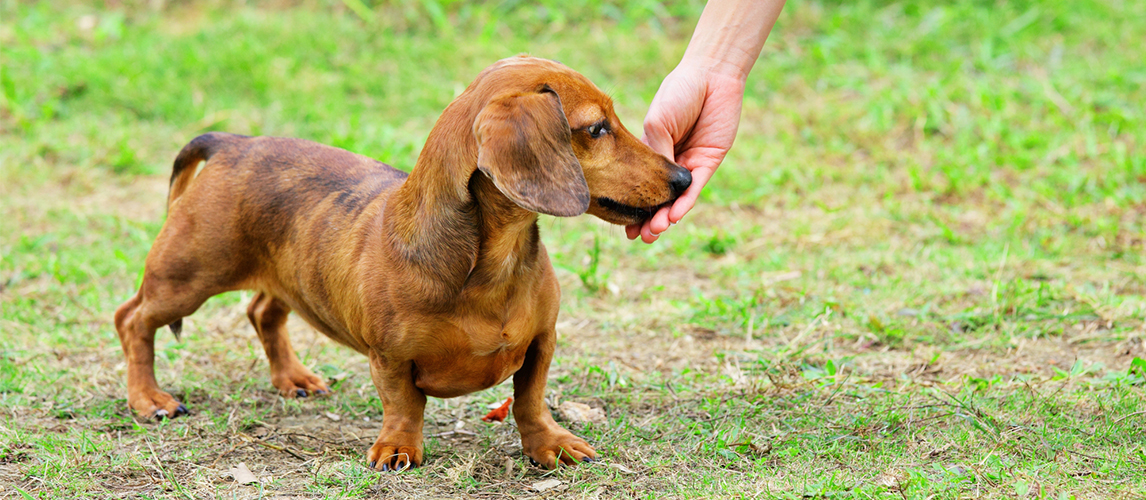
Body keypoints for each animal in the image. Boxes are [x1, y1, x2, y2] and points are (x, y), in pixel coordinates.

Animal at [114, 56, 687, 470]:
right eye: (596, 129)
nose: (683, 178)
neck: (491, 265)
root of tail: (232, 142)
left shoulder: (541, 343)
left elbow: (531, 399)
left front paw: (551, 444)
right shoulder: (389, 357)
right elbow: (404, 405)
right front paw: (398, 449)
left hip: (283, 277)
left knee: (262, 312)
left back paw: (292, 378)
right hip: (187, 276)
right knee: (132, 319)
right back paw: (148, 399)